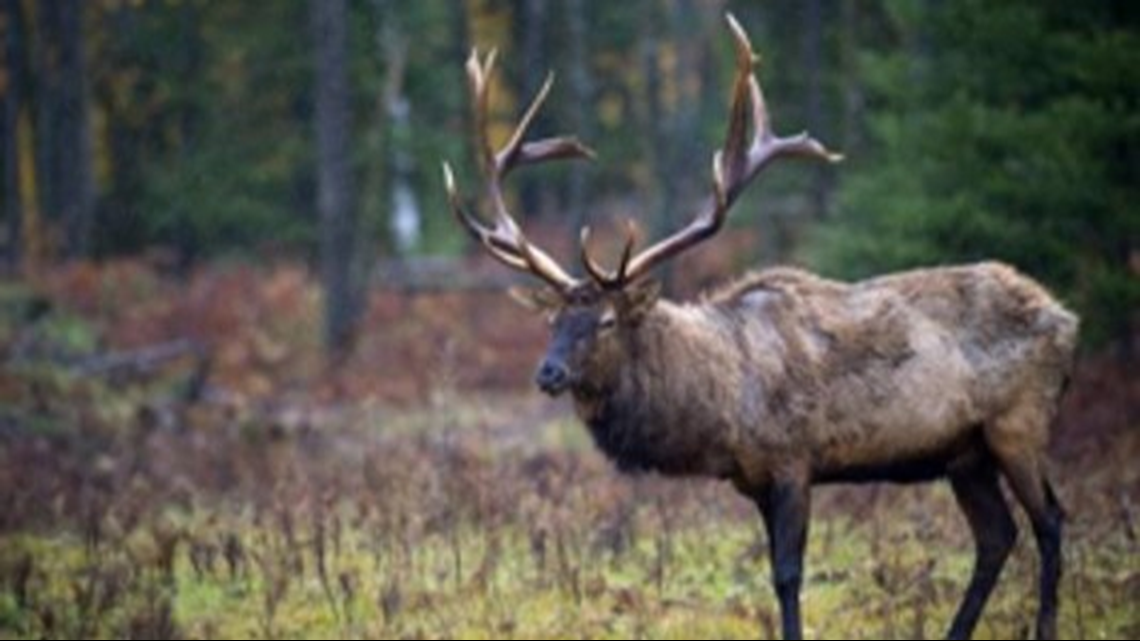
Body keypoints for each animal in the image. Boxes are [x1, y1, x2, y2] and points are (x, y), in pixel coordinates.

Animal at [442, 14, 1076, 638]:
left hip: (1017, 423)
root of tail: (1067, 319)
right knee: (997, 536)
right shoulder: (753, 480)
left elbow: (788, 575)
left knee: (1050, 521)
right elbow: (776, 573)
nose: (547, 373)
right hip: (964, 453)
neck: (724, 408)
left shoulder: (795, 460)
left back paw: (1045, 625)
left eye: (604, 320)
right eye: (553, 318)